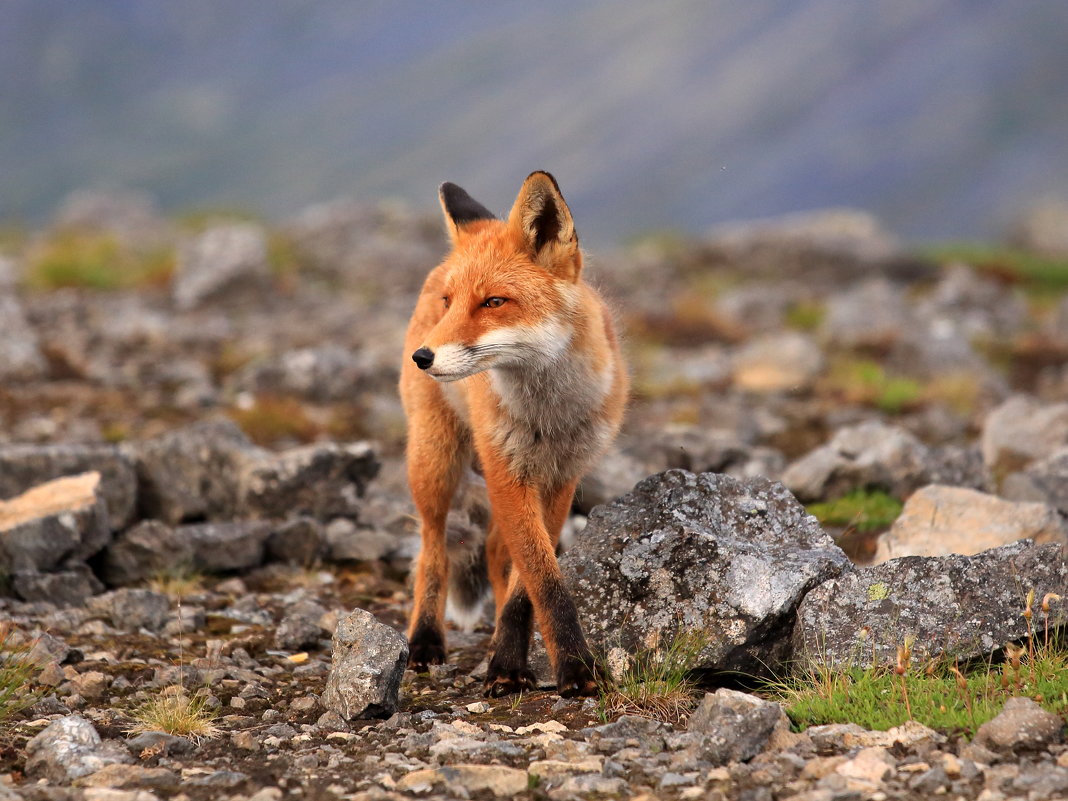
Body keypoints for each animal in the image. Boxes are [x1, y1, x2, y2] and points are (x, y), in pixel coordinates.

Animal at [403, 170, 627, 696]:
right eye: (450, 303)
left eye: (493, 302)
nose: (423, 357)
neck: (548, 416)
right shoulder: (508, 469)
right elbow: (544, 580)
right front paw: (569, 668)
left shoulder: (561, 477)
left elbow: (530, 584)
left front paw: (510, 660)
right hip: (434, 463)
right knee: (432, 549)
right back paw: (424, 641)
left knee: (491, 550)